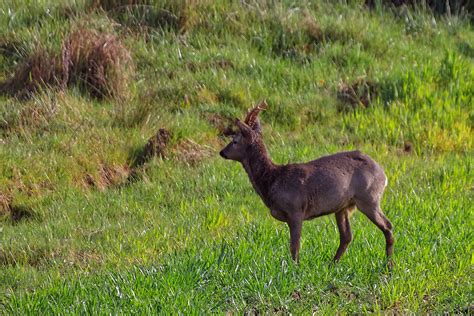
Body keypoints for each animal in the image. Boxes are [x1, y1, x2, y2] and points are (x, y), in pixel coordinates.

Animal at [220, 100, 394, 262]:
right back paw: (332, 265)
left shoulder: (296, 210)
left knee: (388, 226)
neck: (272, 179)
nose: (222, 152)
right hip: (343, 207)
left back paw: (388, 265)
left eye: (235, 140)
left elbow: (294, 247)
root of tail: (383, 174)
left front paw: (294, 269)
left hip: (369, 197)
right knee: (347, 236)